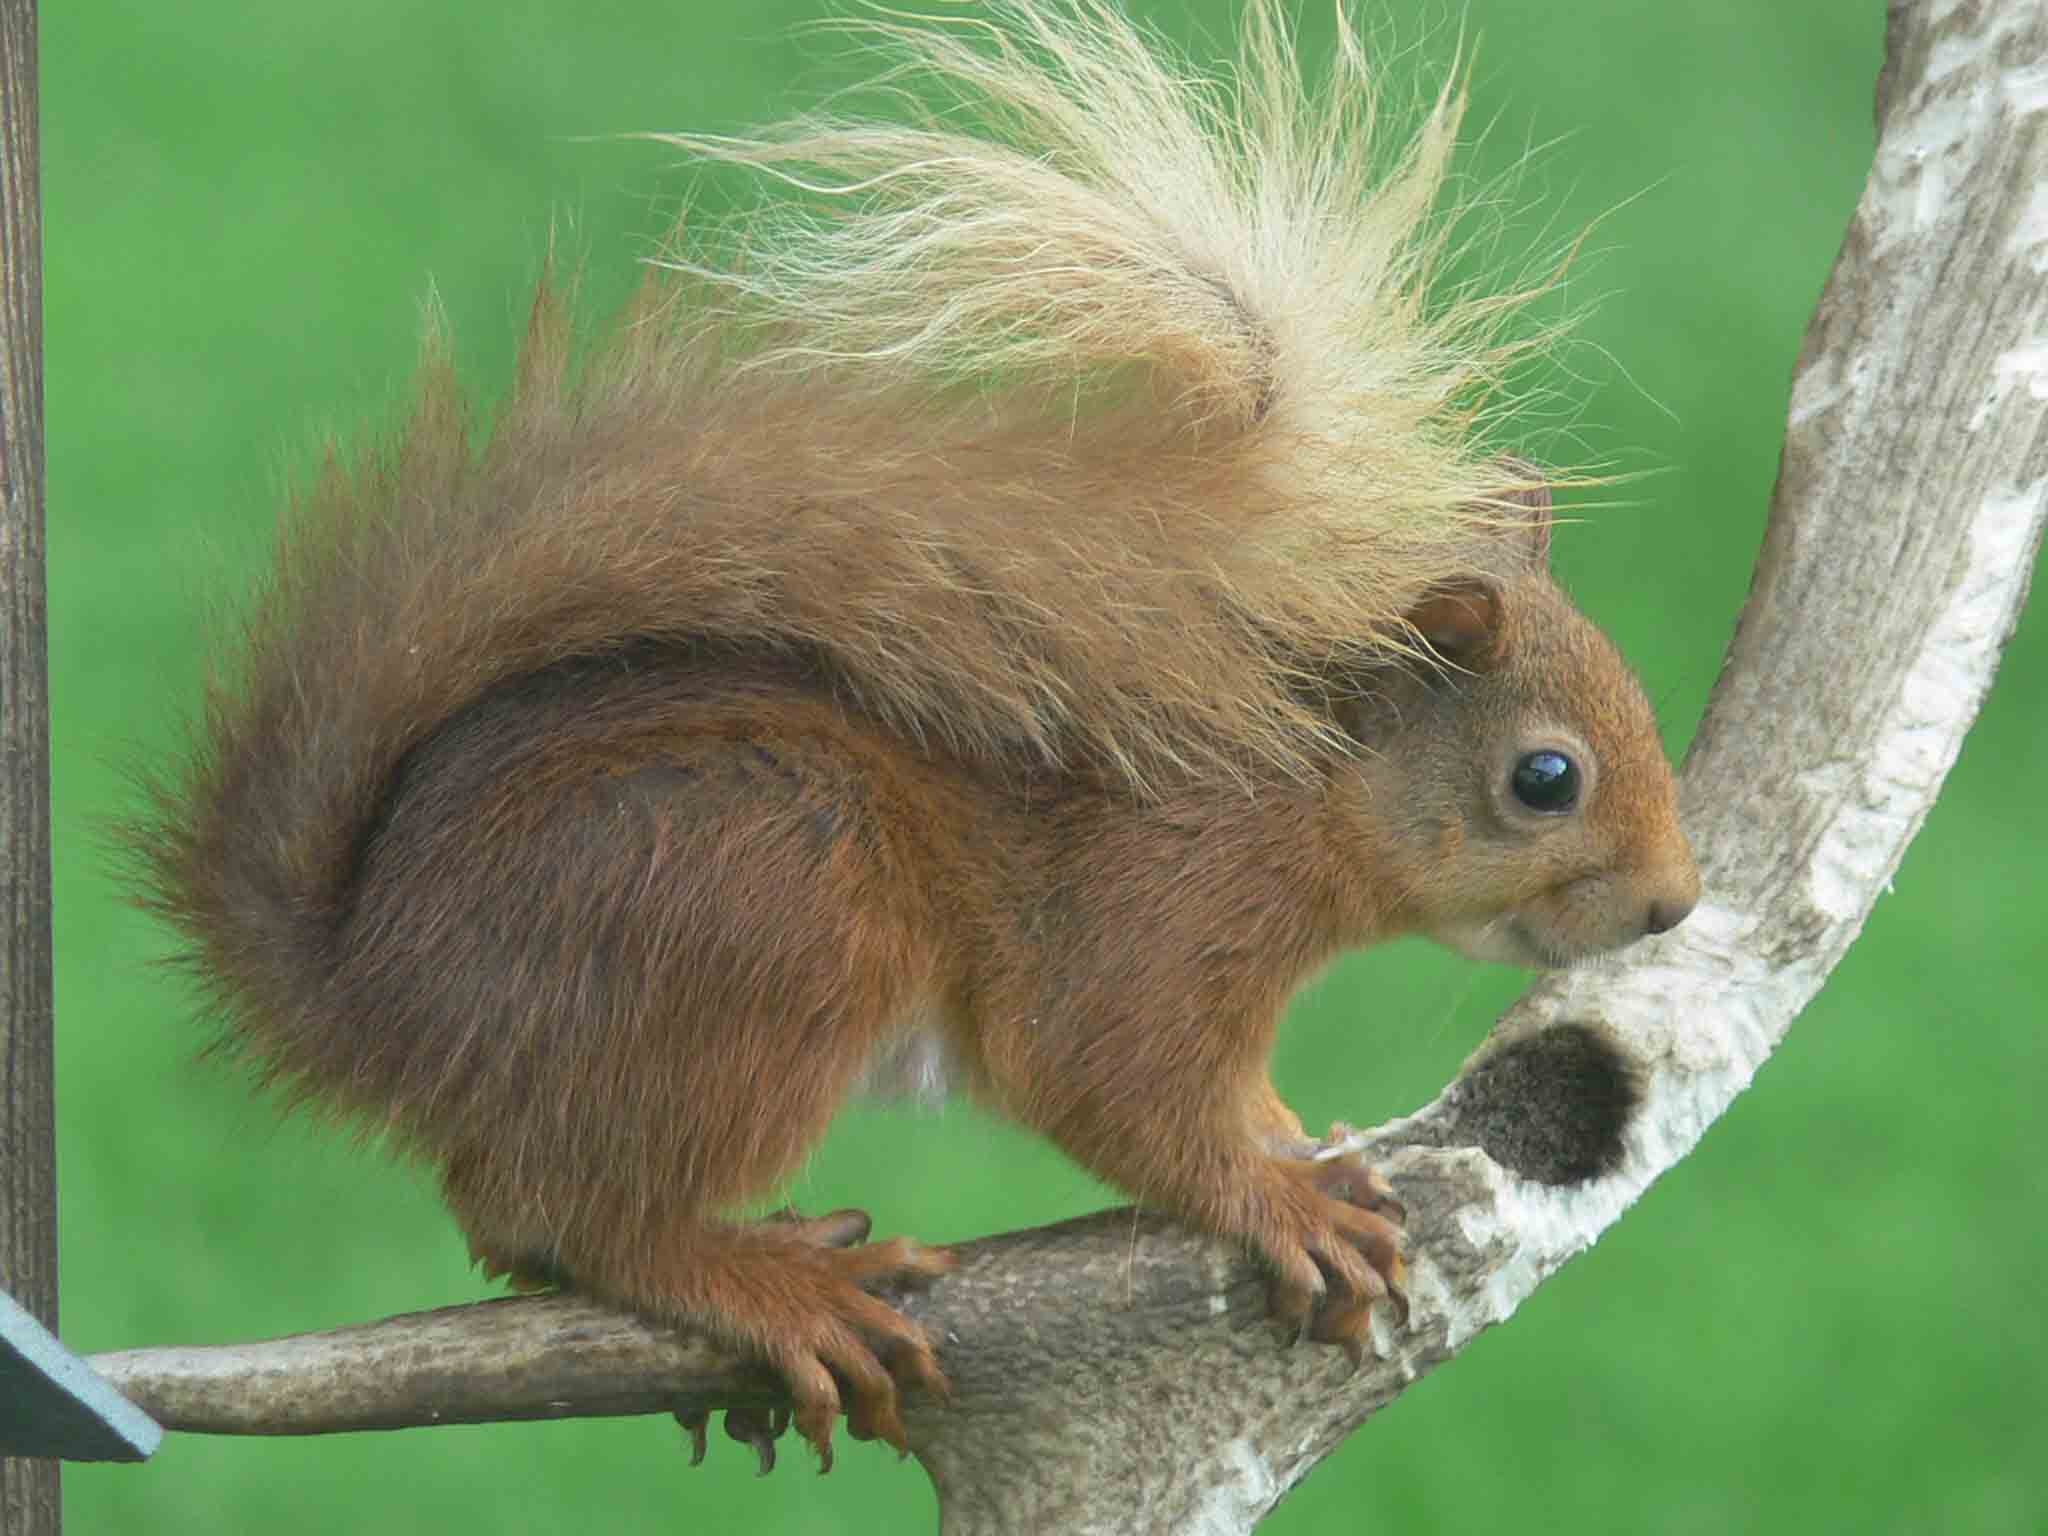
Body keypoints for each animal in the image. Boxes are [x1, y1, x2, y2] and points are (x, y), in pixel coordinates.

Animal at [136, 0, 1698, 1471]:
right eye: (1544, 779)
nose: (1678, 905)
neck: (1284, 790)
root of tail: (369, 990)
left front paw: (1294, 1136)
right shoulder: (1148, 919)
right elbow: (1107, 1082)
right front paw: (1276, 1200)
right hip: (760, 901)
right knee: (558, 1211)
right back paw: (765, 1282)